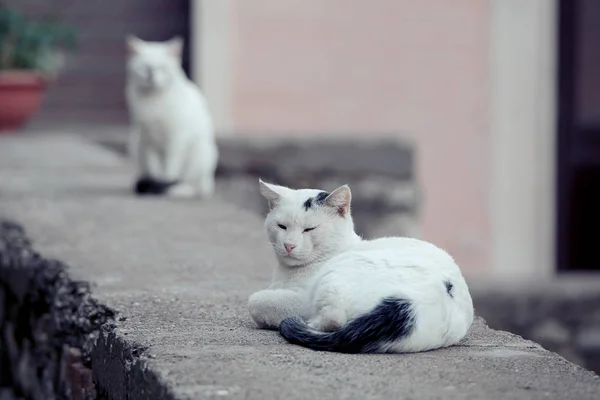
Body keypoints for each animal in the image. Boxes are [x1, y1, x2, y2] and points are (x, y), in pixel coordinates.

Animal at [124, 36, 218, 198]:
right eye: (145, 68)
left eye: (162, 68)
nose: (151, 75)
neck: (153, 100)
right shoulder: (146, 139)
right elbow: (153, 167)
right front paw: (155, 183)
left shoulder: (176, 139)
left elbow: (170, 168)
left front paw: (164, 185)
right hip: (135, 144)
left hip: (200, 152)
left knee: (196, 186)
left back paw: (178, 190)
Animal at [248, 180, 474, 354]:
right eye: (281, 226)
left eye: (309, 229)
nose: (289, 245)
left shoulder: (302, 299)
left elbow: (255, 301)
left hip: (334, 278)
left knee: (334, 319)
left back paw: (310, 324)